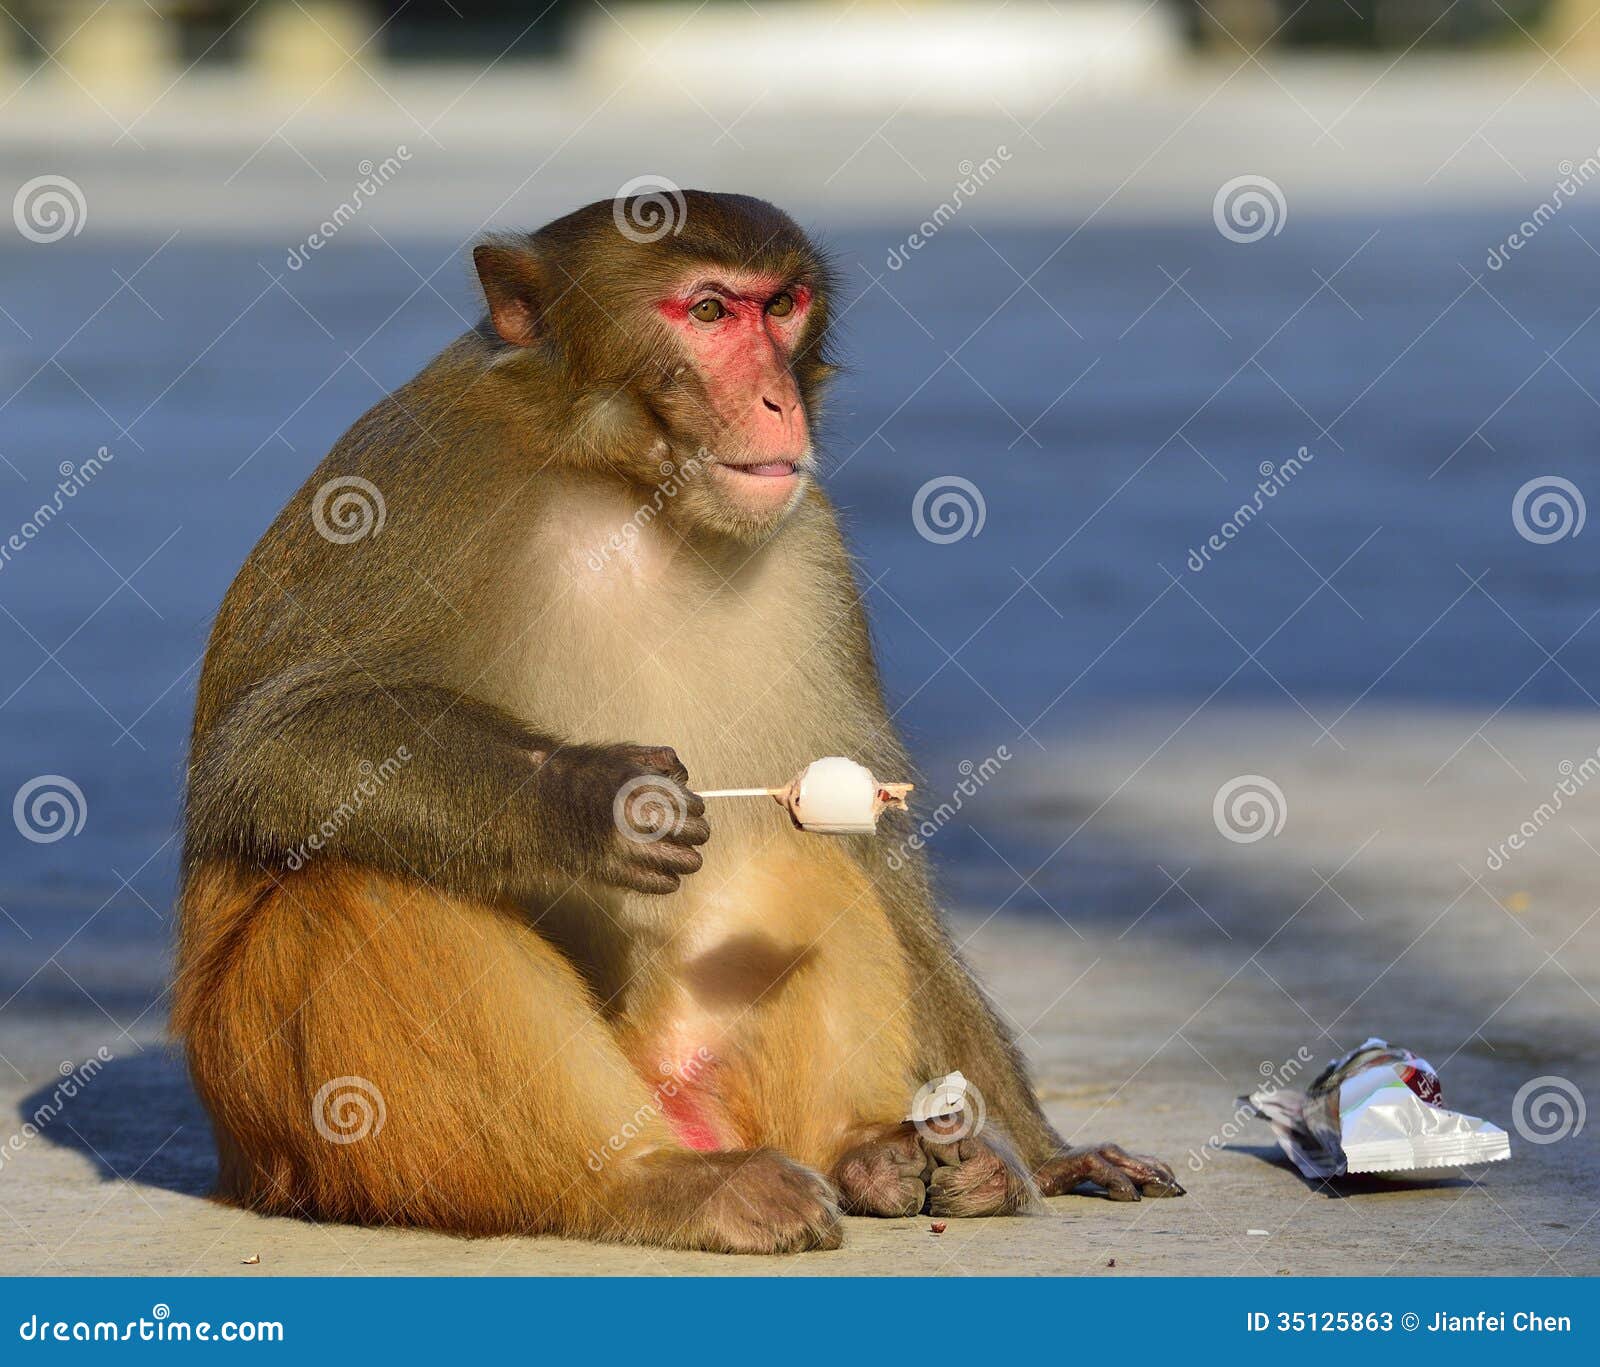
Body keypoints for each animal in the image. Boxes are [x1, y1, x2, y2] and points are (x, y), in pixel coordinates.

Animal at [175, 192, 1184, 1261]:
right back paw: (649, 1184)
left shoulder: (811, 541)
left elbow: (872, 848)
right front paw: (588, 801)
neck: (634, 492)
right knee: (360, 886)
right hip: (285, 1117)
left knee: (802, 859)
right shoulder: (425, 477)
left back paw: (867, 1154)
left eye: (780, 306)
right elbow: (268, 750)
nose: (778, 401)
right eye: (706, 313)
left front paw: (1048, 1150)